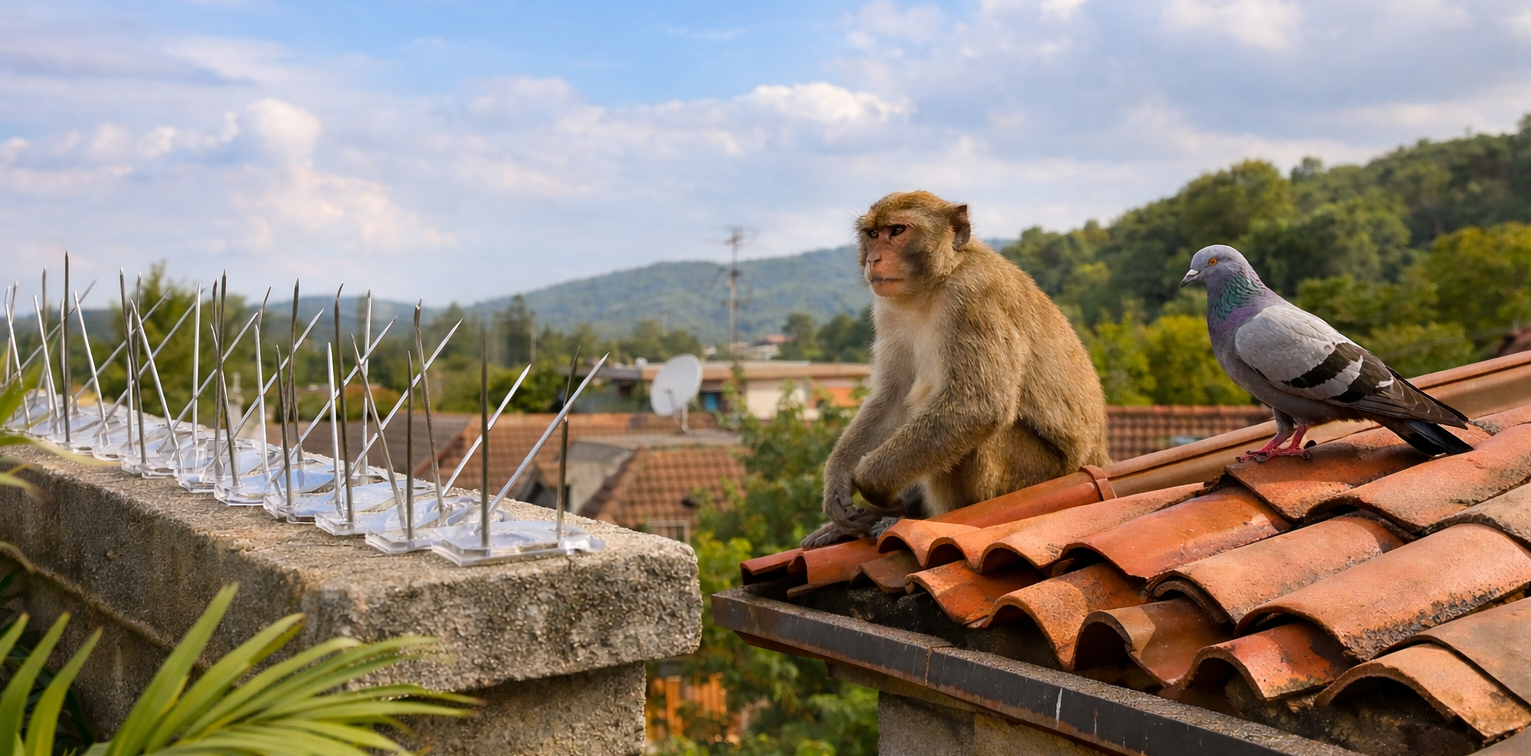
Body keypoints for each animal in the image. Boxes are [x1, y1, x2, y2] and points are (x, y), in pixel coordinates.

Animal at [801, 191, 1111, 549]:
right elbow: (892, 397)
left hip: (1034, 474)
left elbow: (977, 405)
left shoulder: (973, 299)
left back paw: (917, 516)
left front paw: (870, 483)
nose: (874, 259)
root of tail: (1095, 459)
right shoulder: (888, 312)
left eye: (897, 231)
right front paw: (837, 479)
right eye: (873, 234)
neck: (934, 284)